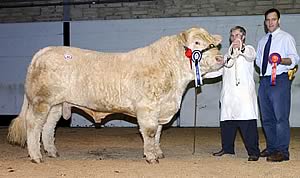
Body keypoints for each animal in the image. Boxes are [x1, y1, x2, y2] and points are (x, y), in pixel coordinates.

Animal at [7, 27, 223, 163]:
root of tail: (45, 51)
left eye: (214, 44)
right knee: (34, 125)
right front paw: (151, 157)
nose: (221, 58)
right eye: (197, 42)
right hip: (41, 102)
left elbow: (159, 133)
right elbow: (150, 132)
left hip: (56, 105)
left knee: (48, 128)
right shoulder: (147, 108)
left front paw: (158, 153)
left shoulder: (161, 108)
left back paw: (52, 152)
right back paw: (36, 157)